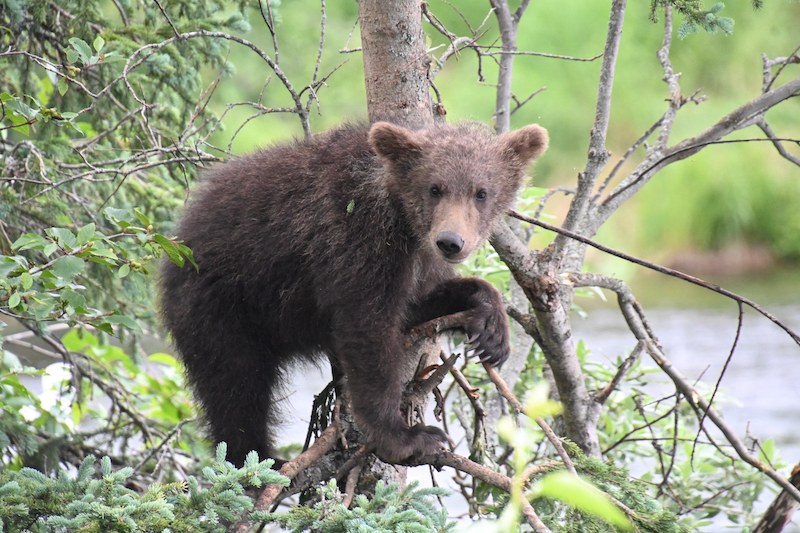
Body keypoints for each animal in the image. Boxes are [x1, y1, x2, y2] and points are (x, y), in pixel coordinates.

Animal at [158, 120, 544, 466]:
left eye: (481, 192)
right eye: (435, 188)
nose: (450, 241)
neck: (403, 221)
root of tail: (179, 236)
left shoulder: (413, 265)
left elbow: (416, 305)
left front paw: (492, 330)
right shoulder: (356, 240)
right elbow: (367, 332)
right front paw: (406, 437)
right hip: (222, 303)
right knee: (236, 385)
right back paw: (258, 461)